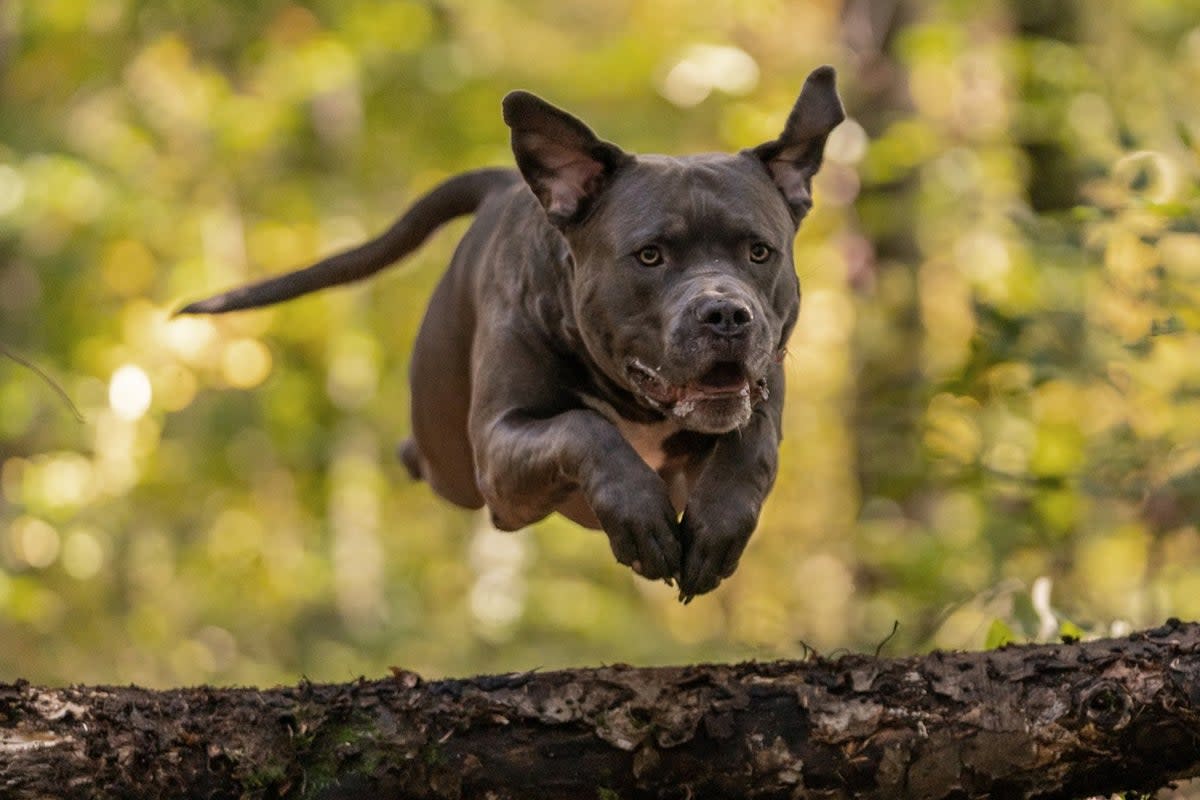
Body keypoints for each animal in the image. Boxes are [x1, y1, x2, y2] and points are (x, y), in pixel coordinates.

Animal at [182, 65, 849, 597]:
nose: (727, 314)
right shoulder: (500, 444)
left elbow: (750, 443)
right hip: (453, 456)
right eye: (650, 256)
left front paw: (718, 525)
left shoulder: (763, 388)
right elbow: (583, 428)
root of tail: (506, 183)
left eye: (759, 252)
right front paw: (640, 516)